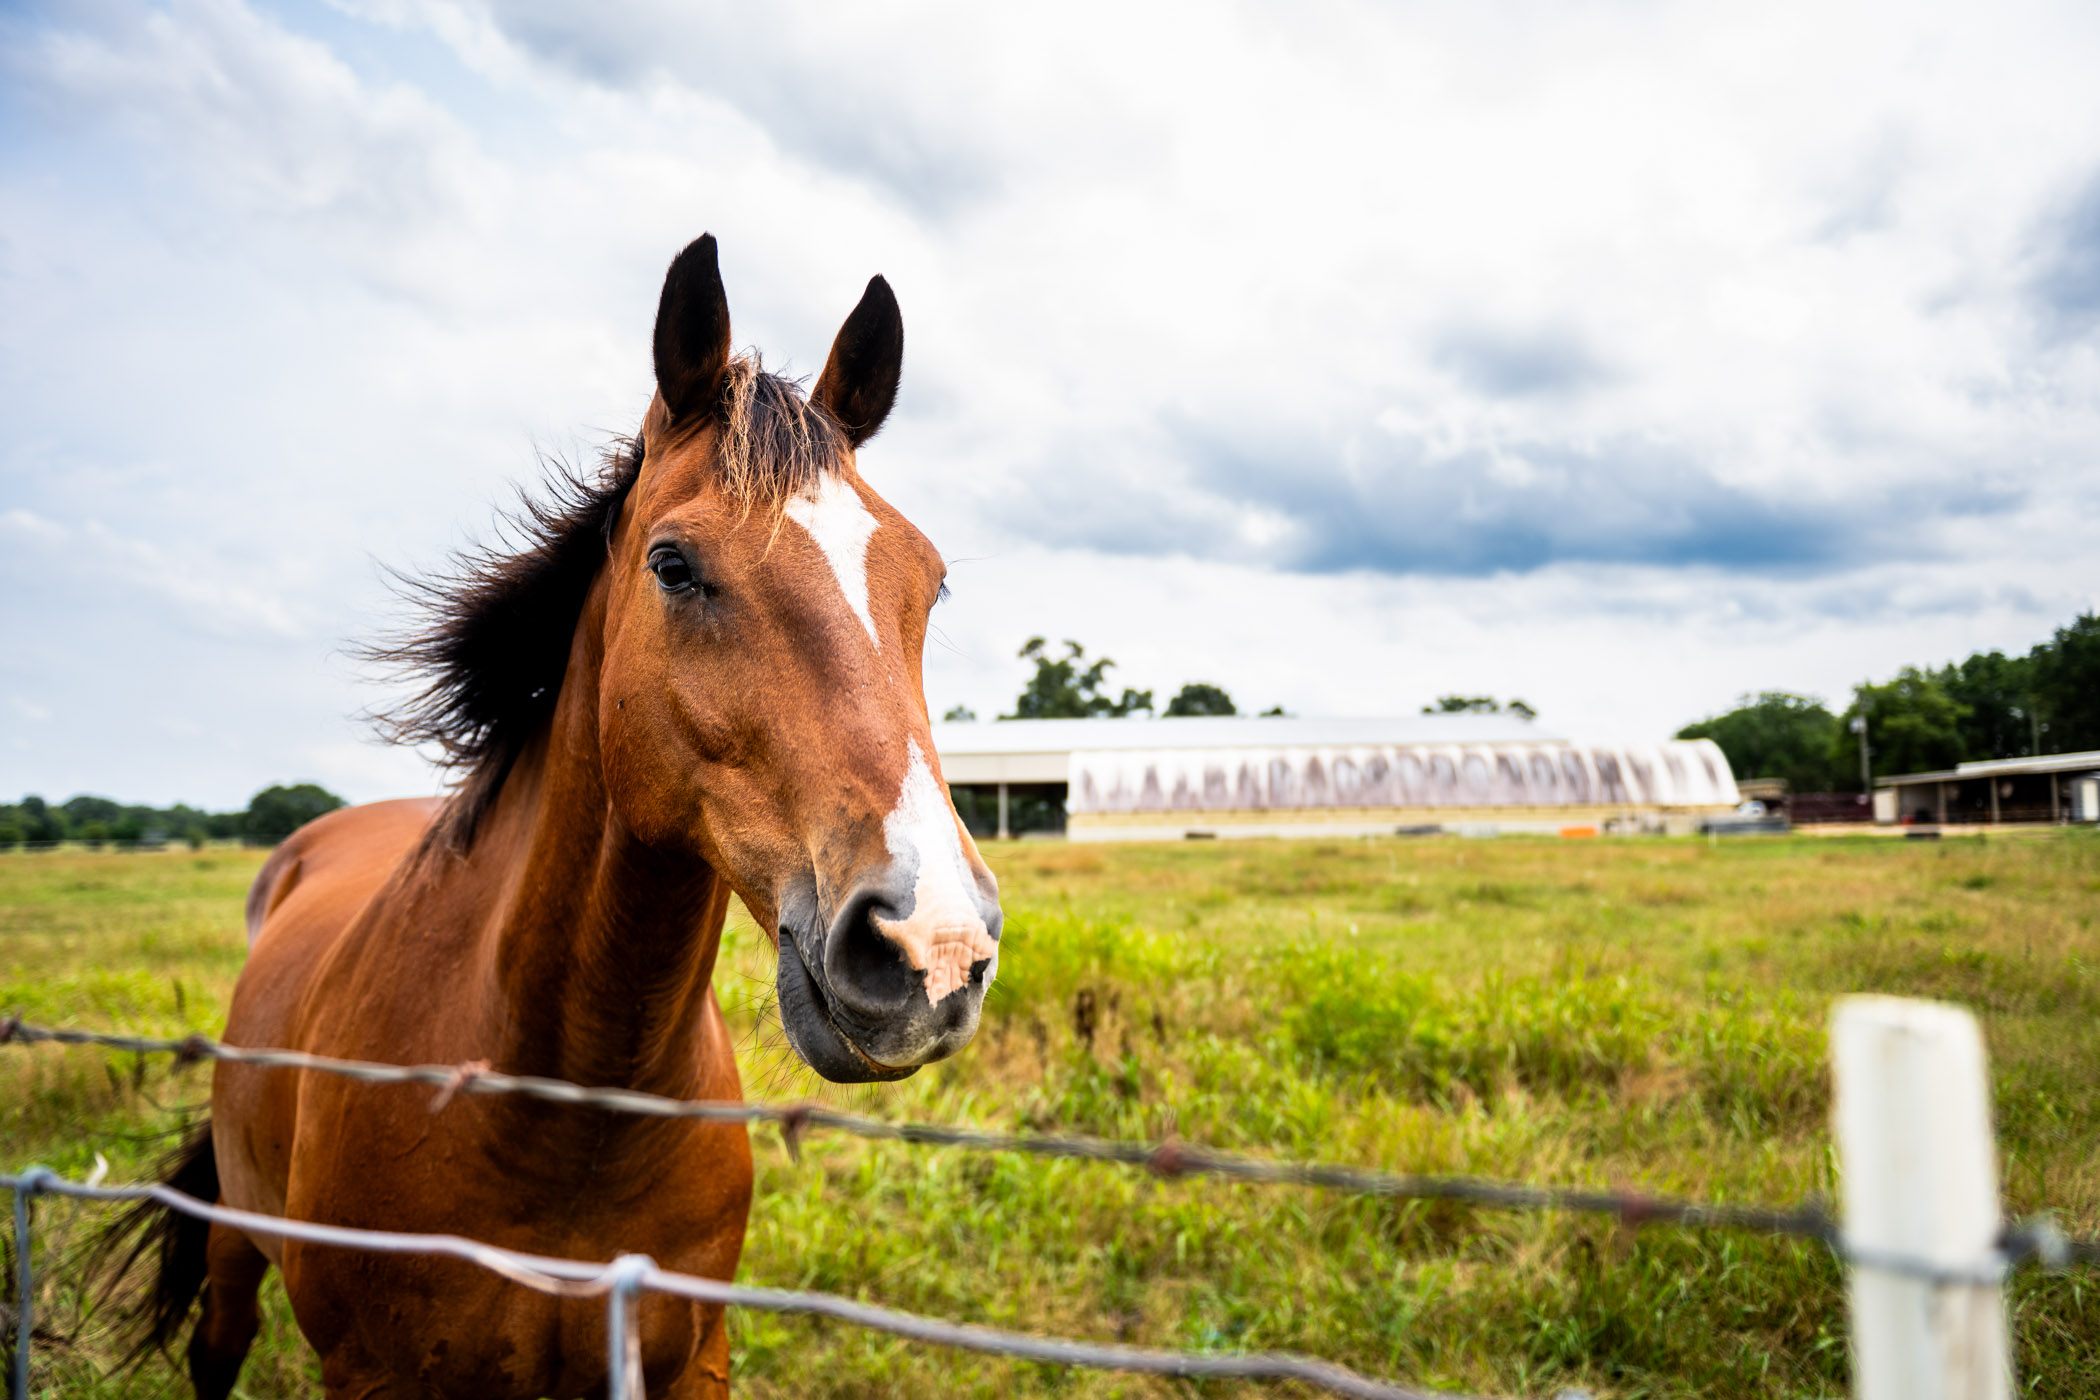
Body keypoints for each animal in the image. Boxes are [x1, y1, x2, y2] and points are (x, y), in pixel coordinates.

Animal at [108, 235, 1007, 1393]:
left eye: (928, 583)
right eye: (673, 565)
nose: (931, 946)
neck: (573, 1112)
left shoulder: (694, 1357)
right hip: (232, 1251)